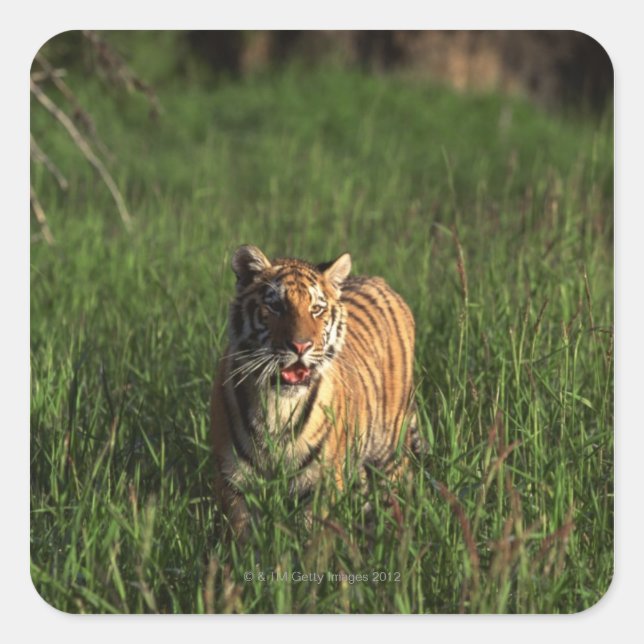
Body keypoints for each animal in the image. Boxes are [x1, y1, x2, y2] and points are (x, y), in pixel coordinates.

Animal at [210, 244, 417, 535]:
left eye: (317, 309)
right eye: (276, 306)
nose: (301, 346)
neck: (278, 404)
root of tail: (380, 281)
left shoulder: (321, 482)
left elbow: (312, 535)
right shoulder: (234, 481)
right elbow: (243, 536)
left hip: (390, 452)